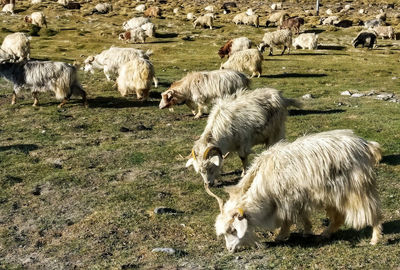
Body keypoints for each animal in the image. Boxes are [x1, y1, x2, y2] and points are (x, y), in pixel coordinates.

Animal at [208, 130, 382, 252]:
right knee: (339, 217)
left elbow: (287, 219)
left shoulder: (287, 200)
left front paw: (281, 236)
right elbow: (303, 216)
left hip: (358, 190)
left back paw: (375, 239)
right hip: (334, 195)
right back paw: (325, 234)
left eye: (233, 230)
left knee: (373, 212)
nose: (230, 249)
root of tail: (366, 145)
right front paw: (307, 231)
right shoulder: (298, 199)